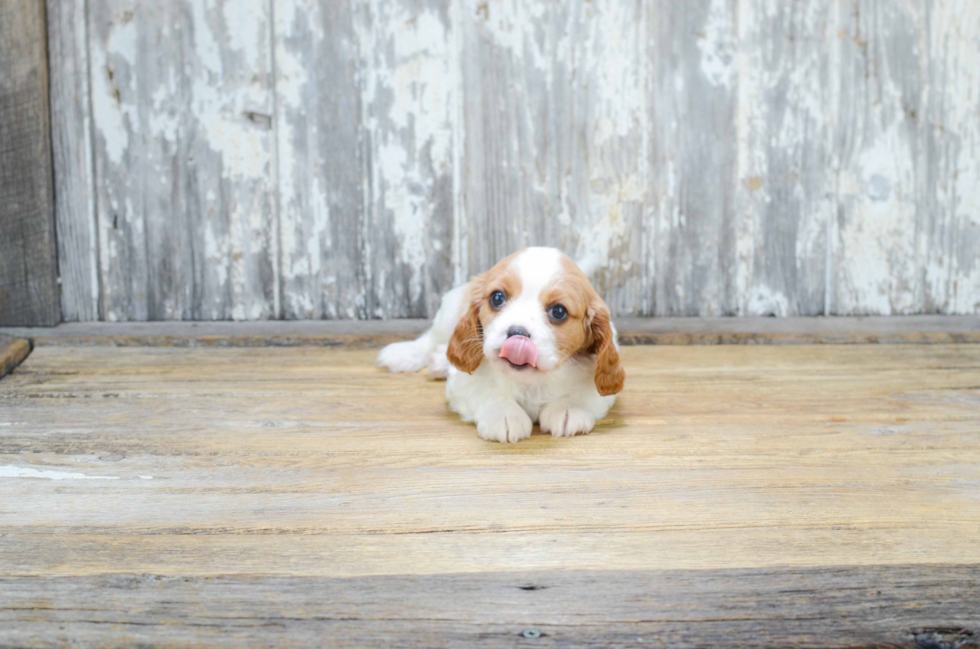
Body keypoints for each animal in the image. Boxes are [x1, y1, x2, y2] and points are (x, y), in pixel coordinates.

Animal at [378, 247, 624, 440]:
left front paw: (567, 408)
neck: (530, 381)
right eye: (497, 298)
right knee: (431, 338)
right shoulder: (461, 382)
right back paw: (407, 354)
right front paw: (504, 415)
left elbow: (583, 393)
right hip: (450, 309)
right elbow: (488, 391)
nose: (517, 334)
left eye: (558, 311)